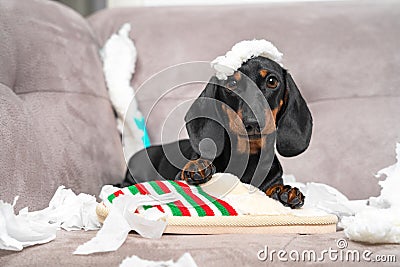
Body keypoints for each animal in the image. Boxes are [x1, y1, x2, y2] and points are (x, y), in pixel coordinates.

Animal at [122, 56, 312, 210]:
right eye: (232, 84)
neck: (246, 155)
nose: (252, 123)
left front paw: (284, 192)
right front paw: (197, 166)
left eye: (272, 81)